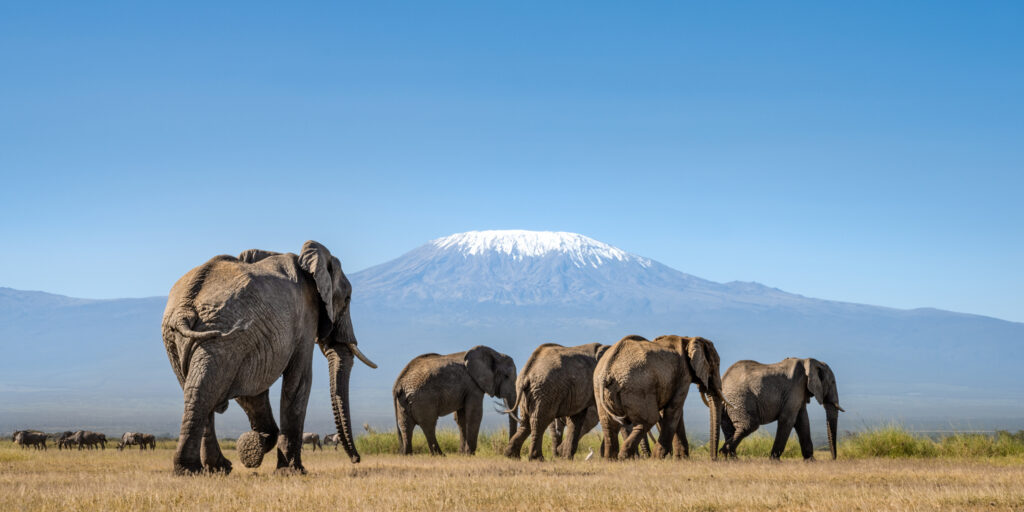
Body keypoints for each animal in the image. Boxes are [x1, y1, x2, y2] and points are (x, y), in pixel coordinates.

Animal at [161, 239, 378, 475]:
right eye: (347, 299)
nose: (356, 459)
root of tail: (185, 308)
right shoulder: (305, 316)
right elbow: (299, 379)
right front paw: (291, 471)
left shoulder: (250, 341)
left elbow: (251, 391)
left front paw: (252, 447)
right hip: (217, 334)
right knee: (205, 389)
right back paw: (195, 469)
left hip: (187, 339)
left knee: (198, 388)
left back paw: (213, 468)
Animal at [593, 333, 729, 462]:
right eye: (716, 364)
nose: (714, 459)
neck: (689, 339)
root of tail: (607, 371)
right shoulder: (683, 374)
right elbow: (674, 409)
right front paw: (660, 458)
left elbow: (673, 412)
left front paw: (680, 459)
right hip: (638, 387)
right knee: (648, 420)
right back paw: (624, 457)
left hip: (601, 390)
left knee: (609, 424)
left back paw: (611, 460)